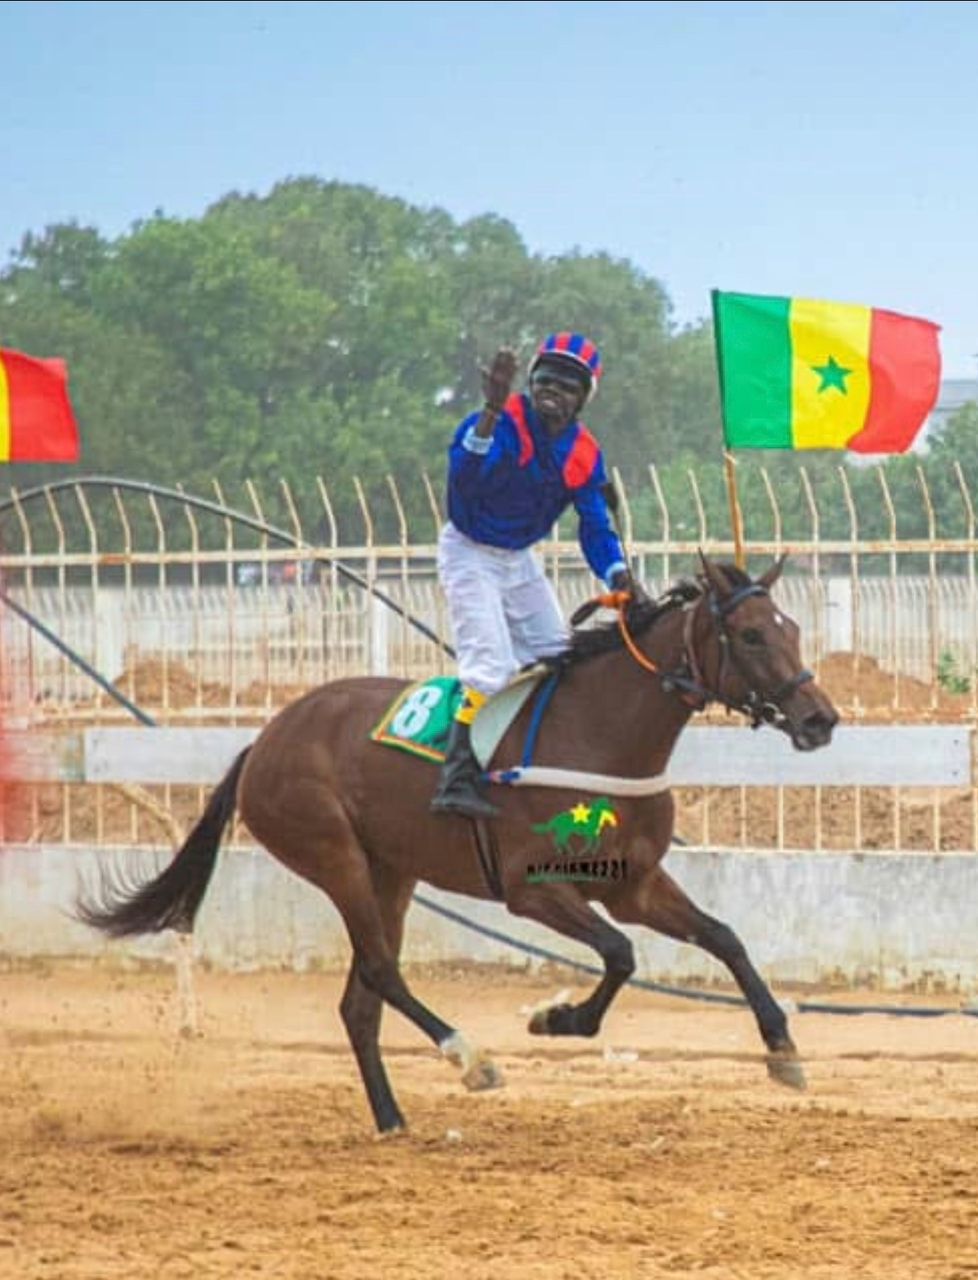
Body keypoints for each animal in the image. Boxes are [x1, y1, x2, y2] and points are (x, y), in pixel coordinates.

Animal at [78, 555, 839, 1134]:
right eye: (750, 635)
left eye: (792, 628)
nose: (820, 718)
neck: (597, 734)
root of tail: (263, 739)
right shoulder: (533, 890)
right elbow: (621, 953)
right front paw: (556, 1019)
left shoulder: (634, 884)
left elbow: (724, 937)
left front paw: (782, 1047)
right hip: (334, 855)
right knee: (382, 972)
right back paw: (469, 1057)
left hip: (392, 873)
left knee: (359, 1002)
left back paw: (392, 1119)